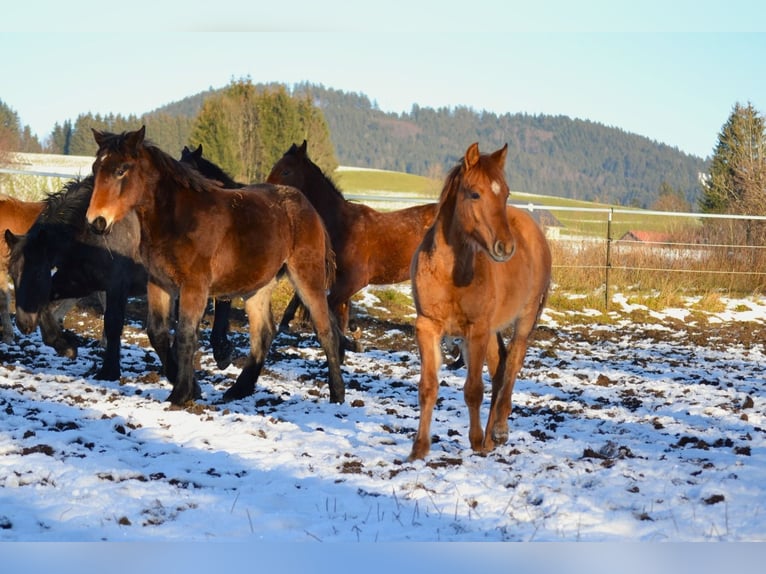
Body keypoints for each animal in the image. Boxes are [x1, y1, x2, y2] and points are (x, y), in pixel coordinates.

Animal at [85, 128, 344, 408]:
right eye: (96, 168)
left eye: (122, 170)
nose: (97, 221)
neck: (177, 219)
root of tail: (308, 207)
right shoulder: (159, 283)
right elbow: (158, 334)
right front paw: (192, 388)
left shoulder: (194, 285)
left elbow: (186, 336)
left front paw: (181, 394)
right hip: (259, 286)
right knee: (263, 334)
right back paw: (238, 390)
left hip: (307, 276)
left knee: (325, 331)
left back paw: (337, 395)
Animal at [268, 142, 438, 354]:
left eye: (286, 171)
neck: (342, 225)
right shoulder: (339, 280)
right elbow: (339, 313)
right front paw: (352, 339)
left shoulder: (353, 281)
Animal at [408, 144, 552, 464]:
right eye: (474, 194)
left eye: (506, 194)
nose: (505, 247)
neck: (450, 272)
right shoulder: (427, 327)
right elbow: (428, 387)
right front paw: (419, 449)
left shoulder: (476, 330)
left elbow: (474, 389)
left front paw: (475, 442)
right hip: (491, 331)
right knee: (499, 370)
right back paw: (490, 438)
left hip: (521, 322)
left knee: (511, 367)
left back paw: (497, 431)